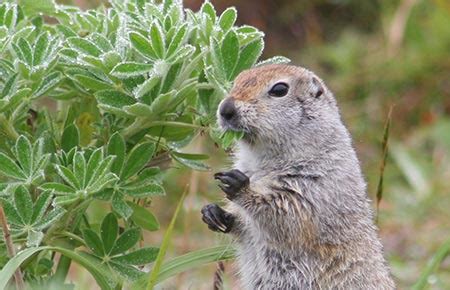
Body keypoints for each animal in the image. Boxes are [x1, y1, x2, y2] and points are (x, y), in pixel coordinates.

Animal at [200, 64, 394, 288]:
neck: (262, 160)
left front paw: (240, 186)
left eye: (279, 89)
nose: (225, 109)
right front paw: (213, 213)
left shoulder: (317, 182)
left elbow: (287, 212)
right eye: (236, 81)